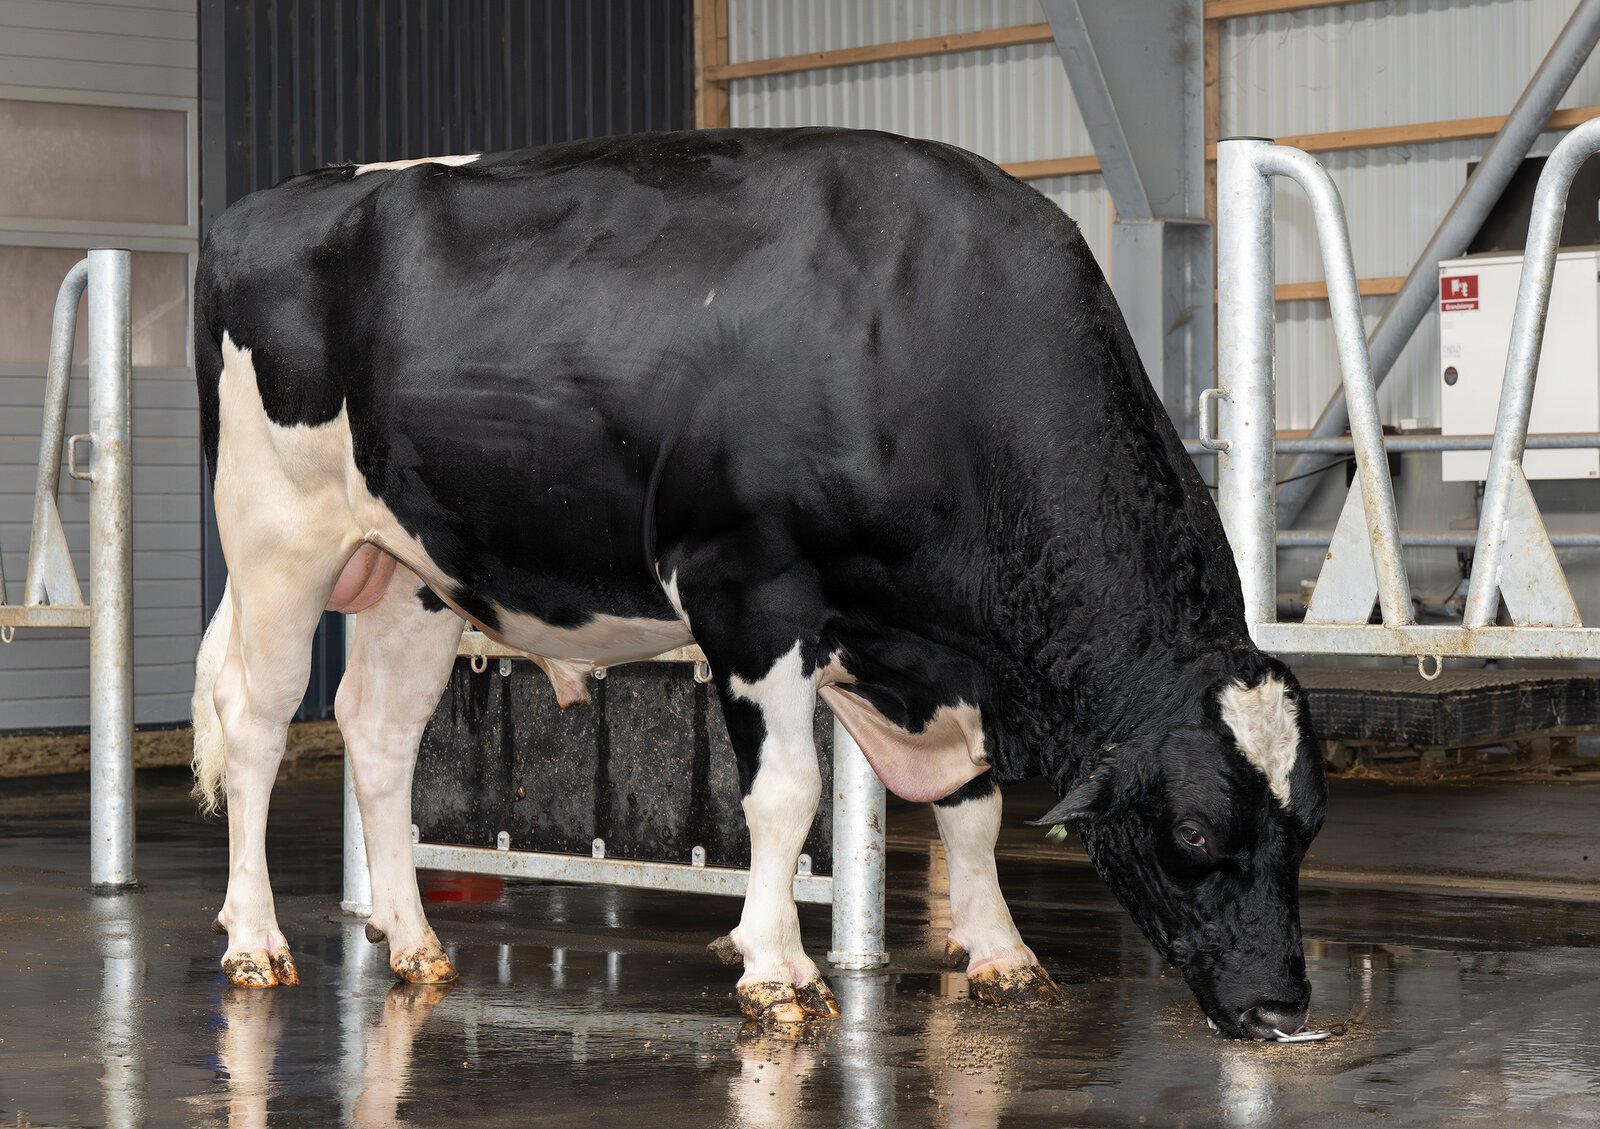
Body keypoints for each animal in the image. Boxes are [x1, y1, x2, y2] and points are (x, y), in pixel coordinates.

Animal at [190, 127, 1327, 1040]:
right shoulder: (748, 590)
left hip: (413, 571)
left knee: (380, 734)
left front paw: (1003, 953)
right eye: (1194, 833)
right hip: (277, 532)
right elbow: (787, 792)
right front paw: (777, 968)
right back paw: (254, 939)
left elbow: (973, 804)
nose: (1282, 1008)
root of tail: (267, 204)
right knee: (257, 721)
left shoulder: (934, 653)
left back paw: (414, 939)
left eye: (1309, 828)